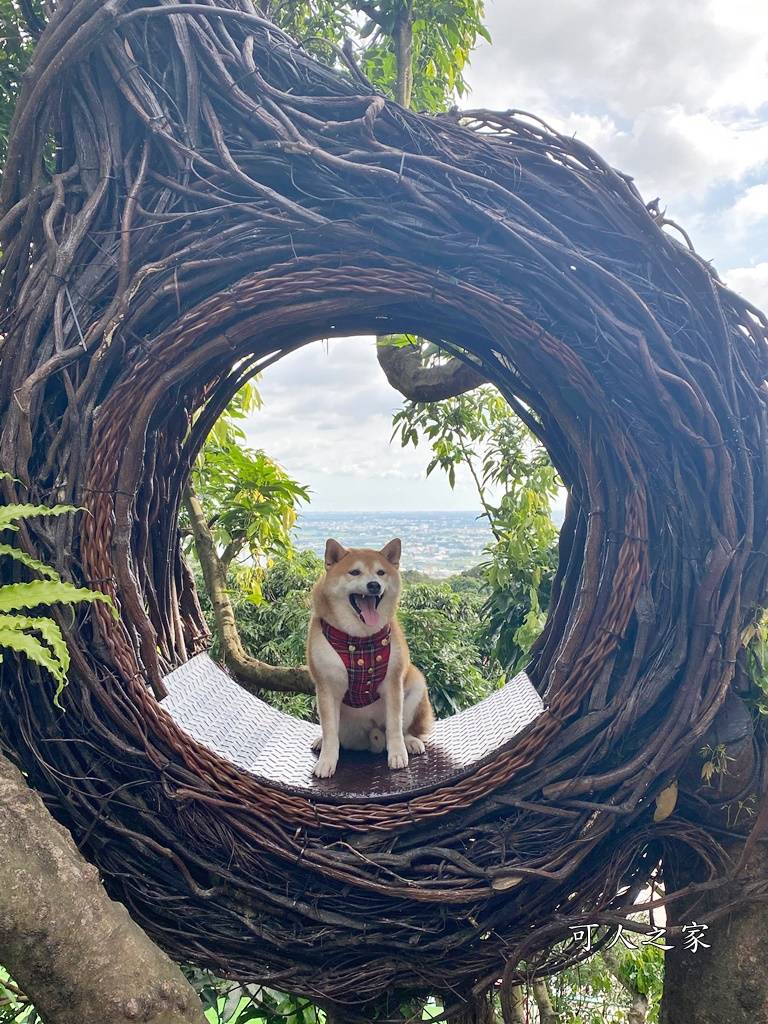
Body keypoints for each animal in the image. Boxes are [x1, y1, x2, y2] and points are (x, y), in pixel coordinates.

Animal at [309, 536, 436, 774]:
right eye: (354, 572)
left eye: (381, 573)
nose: (374, 585)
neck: (360, 639)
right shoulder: (326, 686)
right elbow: (330, 731)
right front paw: (327, 760)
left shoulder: (393, 683)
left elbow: (395, 725)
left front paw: (397, 754)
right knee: (337, 736)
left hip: (415, 683)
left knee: (403, 728)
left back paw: (410, 742)